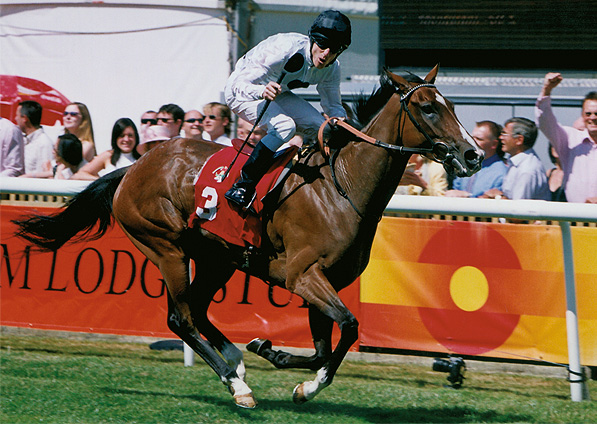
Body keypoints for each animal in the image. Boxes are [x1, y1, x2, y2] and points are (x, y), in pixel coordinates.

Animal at [11, 65, 482, 408]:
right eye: (428, 107)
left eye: (450, 105)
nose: (473, 153)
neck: (342, 187)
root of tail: (133, 166)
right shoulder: (303, 276)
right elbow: (348, 327)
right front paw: (293, 375)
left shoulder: (323, 280)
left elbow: (325, 346)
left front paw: (279, 360)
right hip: (165, 246)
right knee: (181, 317)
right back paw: (235, 385)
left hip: (216, 257)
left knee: (199, 309)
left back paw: (236, 361)